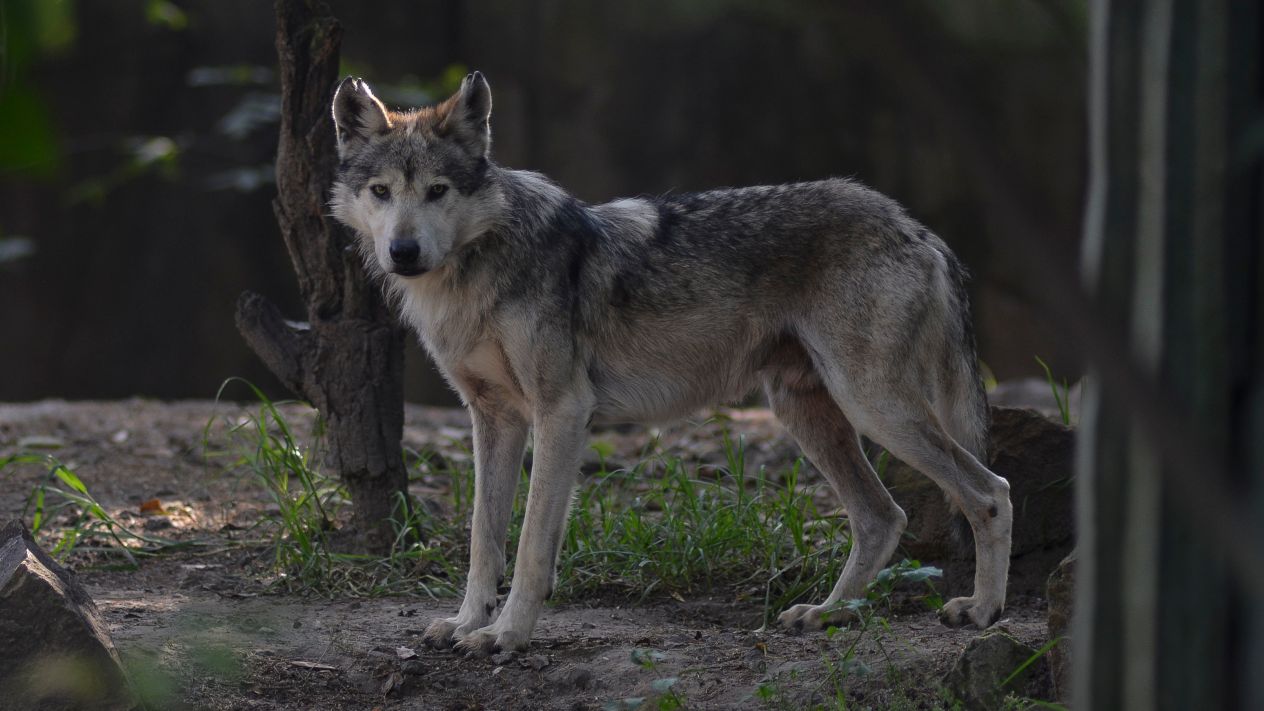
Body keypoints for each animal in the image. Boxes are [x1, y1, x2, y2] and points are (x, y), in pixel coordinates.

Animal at [329, 72, 1013, 655]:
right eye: (382, 193)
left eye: (437, 191)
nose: (403, 252)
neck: (476, 272)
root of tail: (917, 229)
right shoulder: (493, 419)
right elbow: (482, 538)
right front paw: (468, 623)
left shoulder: (562, 413)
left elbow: (529, 548)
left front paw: (507, 635)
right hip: (808, 412)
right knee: (882, 517)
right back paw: (826, 615)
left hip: (872, 408)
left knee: (990, 492)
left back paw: (981, 612)